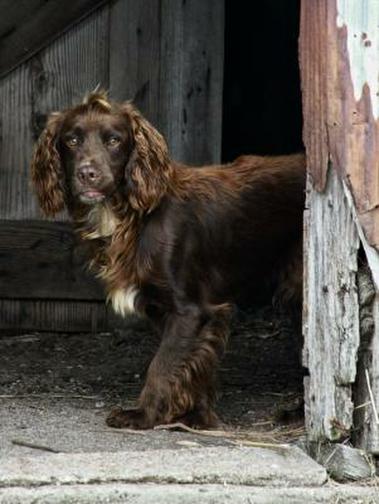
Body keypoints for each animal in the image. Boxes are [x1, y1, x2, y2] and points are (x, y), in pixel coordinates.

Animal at [31, 91, 308, 430]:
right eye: (71, 140)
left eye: (114, 140)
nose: (87, 173)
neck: (131, 216)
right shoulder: (165, 311)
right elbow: (189, 367)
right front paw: (196, 416)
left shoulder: (190, 310)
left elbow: (162, 365)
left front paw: (143, 414)